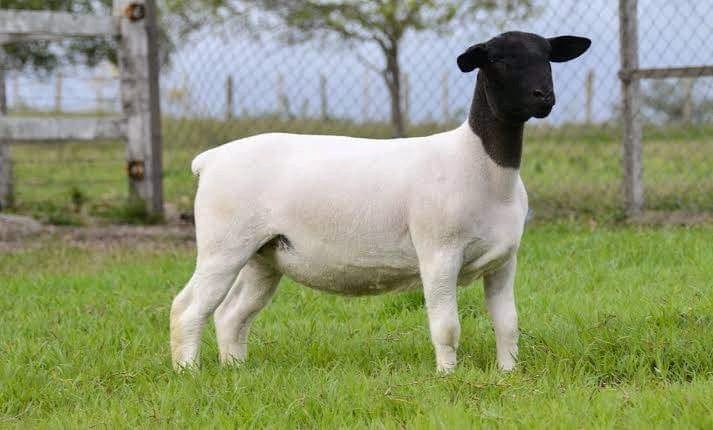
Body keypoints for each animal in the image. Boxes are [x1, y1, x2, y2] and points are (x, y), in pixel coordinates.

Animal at [170, 31, 591, 373]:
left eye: (548, 57)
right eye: (499, 60)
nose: (544, 97)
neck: (481, 166)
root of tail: (208, 160)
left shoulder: (504, 260)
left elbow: (507, 323)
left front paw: (508, 374)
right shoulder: (438, 253)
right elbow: (446, 326)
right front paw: (447, 376)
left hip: (265, 254)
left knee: (231, 314)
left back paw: (234, 371)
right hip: (223, 244)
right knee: (188, 308)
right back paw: (189, 372)